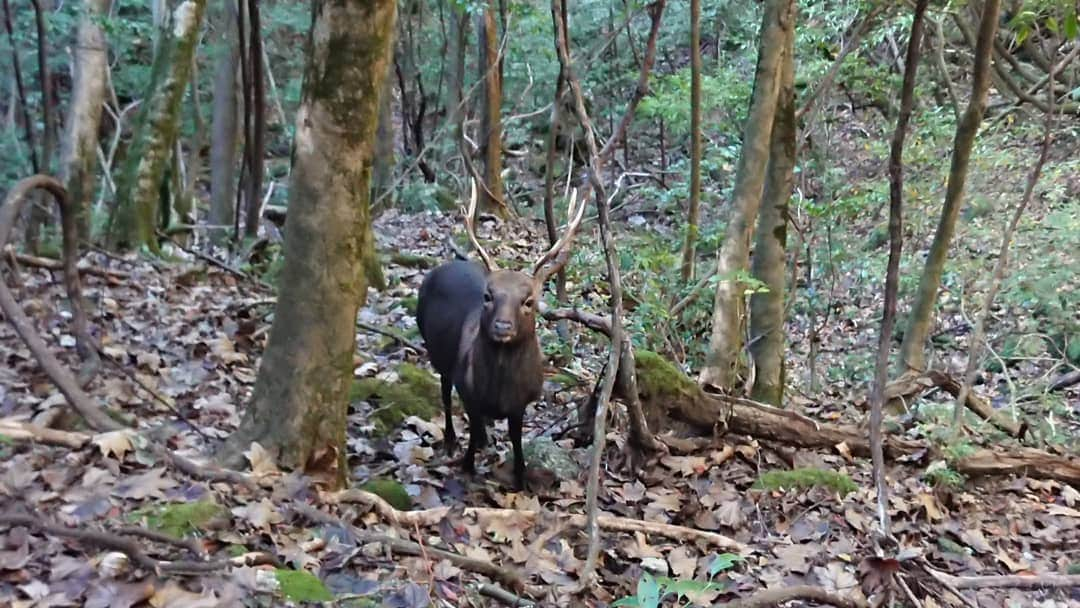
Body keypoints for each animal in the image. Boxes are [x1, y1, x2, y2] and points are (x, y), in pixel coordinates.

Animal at [414, 179, 583, 490]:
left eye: (529, 301)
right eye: (487, 295)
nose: (502, 327)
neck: (499, 393)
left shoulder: (522, 403)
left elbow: (516, 440)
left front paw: (521, 478)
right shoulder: (467, 389)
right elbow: (471, 426)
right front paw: (468, 466)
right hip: (438, 355)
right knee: (445, 396)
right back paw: (453, 441)